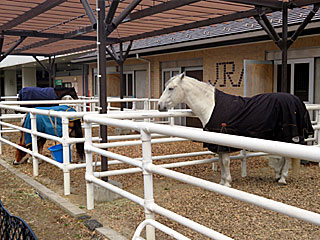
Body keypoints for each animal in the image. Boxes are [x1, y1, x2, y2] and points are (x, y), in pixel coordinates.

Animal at [158, 73, 312, 188]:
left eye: (171, 88)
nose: (159, 106)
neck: (211, 106)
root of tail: (296, 99)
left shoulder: (224, 142)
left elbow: (225, 162)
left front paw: (227, 183)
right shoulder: (218, 144)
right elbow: (220, 161)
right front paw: (222, 181)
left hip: (288, 136)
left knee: (288, 158)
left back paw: (282, 178)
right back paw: (278, 175)